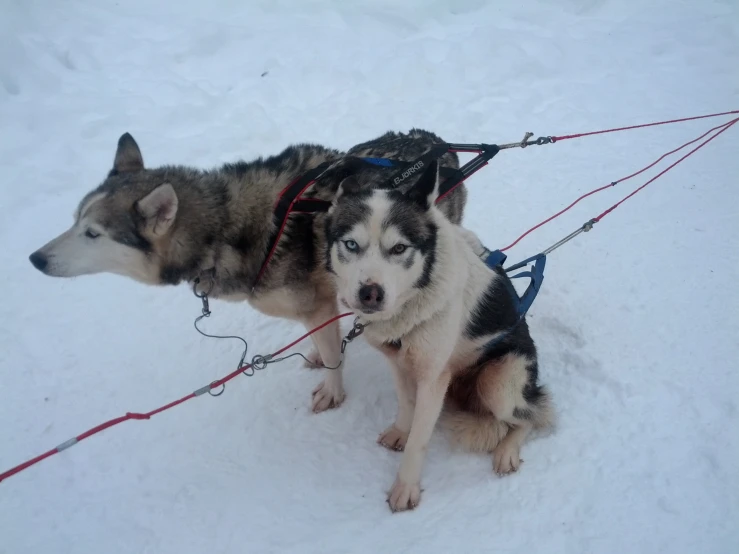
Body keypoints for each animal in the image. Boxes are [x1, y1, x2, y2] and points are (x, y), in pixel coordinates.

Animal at [30, 129, 468, 410]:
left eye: (92, 233)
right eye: (75, 220)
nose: (35, 259)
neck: (225, 228)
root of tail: (438, 143)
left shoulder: (314, 302)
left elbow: (333, 357)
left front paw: (333, 392)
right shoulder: (318, 302)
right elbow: (324, 337)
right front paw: (317, 351)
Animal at [326, 157, 552, 506]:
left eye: (399, 248)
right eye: (351, 244)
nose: (370, 293)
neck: (414, 300)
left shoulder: (433, 379)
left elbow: (419, 440)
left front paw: (405, 488)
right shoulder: (400, 364)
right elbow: (407, 405)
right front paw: (400, 431)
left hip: (497, 382)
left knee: (532, 415)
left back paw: (507, 451)